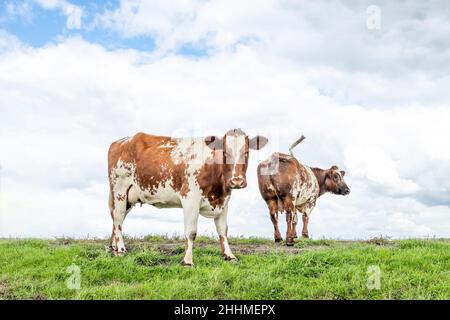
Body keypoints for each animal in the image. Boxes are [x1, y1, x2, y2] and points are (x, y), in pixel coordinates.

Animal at [106, 129, 268, 266]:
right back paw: (120, 250)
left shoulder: (224, 202)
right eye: (225, 153)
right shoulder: (190, 198)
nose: (237, 181)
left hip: (129, 197)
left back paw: (112, 248)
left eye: (246, 152)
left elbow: (223, 230)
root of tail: (121, 141)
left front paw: (229, 256)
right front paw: (187, 261)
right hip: (119, 190)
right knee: (118, 218)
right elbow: (191, 232)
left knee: (116, 218)